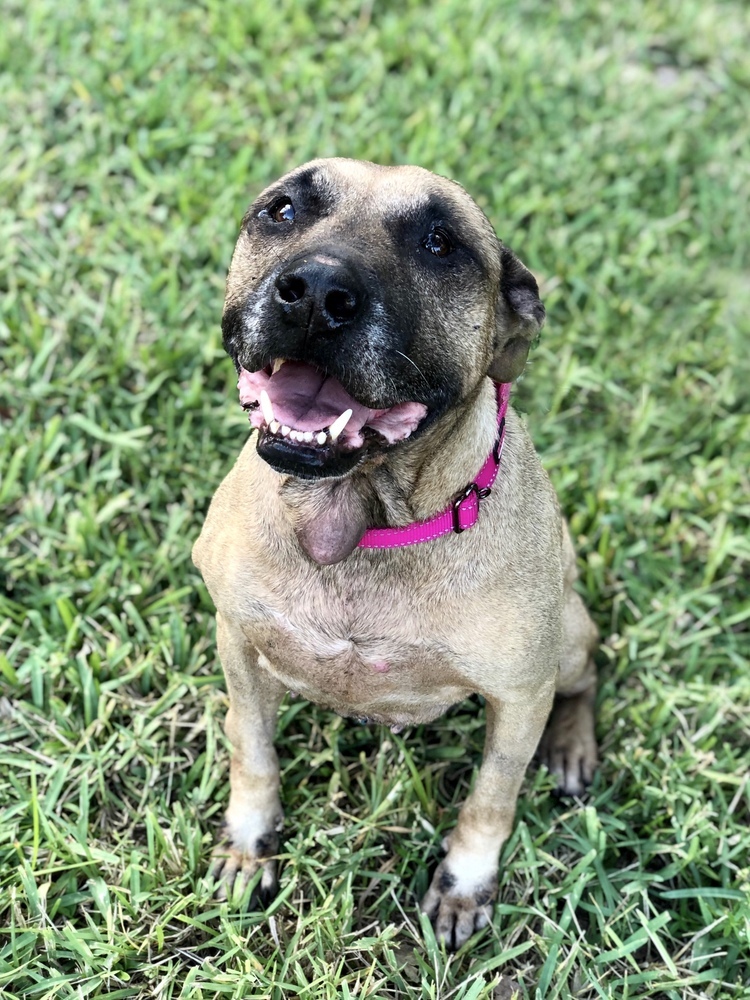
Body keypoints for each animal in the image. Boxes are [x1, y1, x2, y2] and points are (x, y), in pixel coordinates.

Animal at [192, 156, 600, 944]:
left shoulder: (518, 695)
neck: (362, 516)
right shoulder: (238, 642)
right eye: (282, 210)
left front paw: (465, 885)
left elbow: (491, 799)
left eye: (441, 244)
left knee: (589, 671)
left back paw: (571, 747)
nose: (316, 292)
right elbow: (250, 748)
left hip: (566, 636)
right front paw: (250, 842)